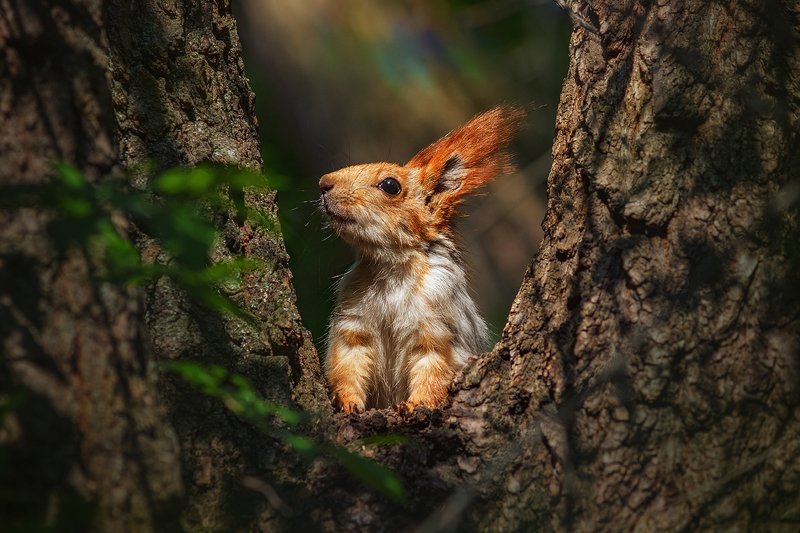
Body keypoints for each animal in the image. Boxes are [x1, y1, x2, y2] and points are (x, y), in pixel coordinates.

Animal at [319, 106, 526, 413]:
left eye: (390, 185)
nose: (323, 183)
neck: (392, 267)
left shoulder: (438, 328)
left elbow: (433, 370)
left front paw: (418, 405)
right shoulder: (353, 325)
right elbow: (347, 363)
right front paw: (347, 401)